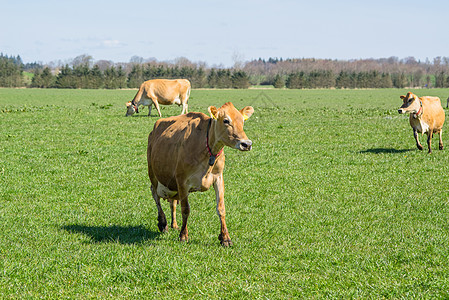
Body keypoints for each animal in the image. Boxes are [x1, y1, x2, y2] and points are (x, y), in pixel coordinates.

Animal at [146, 102, 254, 246]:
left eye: (242, 121)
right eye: (226, 120)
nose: (246, 144)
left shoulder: (218, 178)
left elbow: (221, 208)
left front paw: (225, 238)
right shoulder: (182, 181)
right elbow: (185, 209)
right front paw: (183, 235)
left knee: (172, 202)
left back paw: (174, 224)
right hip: (153, 174)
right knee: (155, 195)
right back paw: (163, 223)